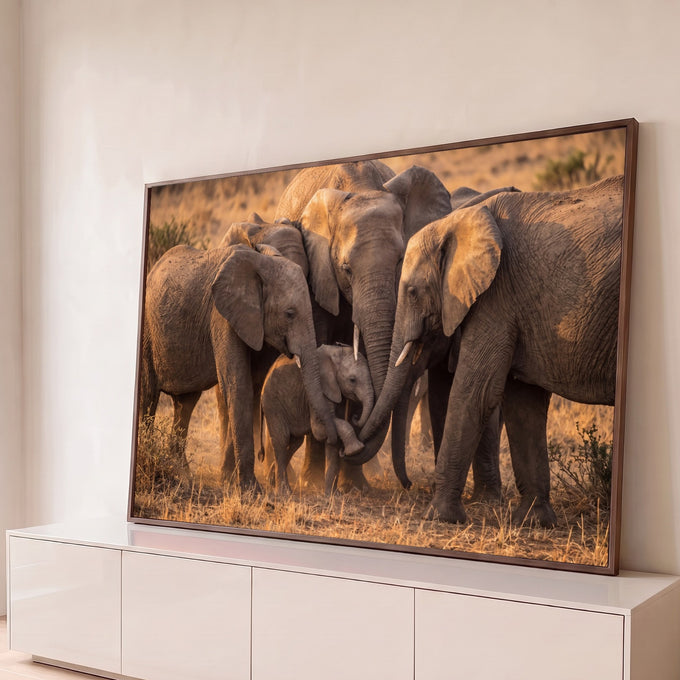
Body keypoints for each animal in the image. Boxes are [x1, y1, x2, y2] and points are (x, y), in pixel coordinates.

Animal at [140, 242, 338, 491]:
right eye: (290, 314)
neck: (261, 263)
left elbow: (252, 385)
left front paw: (229, 480)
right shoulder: (222, 316)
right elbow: (237, 385)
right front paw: (250, 490)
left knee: (186, 403)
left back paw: (182, 475)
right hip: (148, 333)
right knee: (149, 394)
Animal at [260, 344, 374, 495]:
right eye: (352, 380)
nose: (355, 417)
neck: (336, 353)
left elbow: (333, 435)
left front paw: (333, 495)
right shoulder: (316, 393)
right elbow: (320, 429)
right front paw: (356, 449)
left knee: (294, 442)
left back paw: (271, 480)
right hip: (272, 403)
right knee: (281, 440)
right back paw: (284, 492)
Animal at [361, 175, 625, 527]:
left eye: (413, 292)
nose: (409, 485)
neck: (456, 222)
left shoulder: (497, 294)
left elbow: (476, 392)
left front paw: (441, 516)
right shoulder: (514, 304)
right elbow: (523, 403)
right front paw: (533, 522)